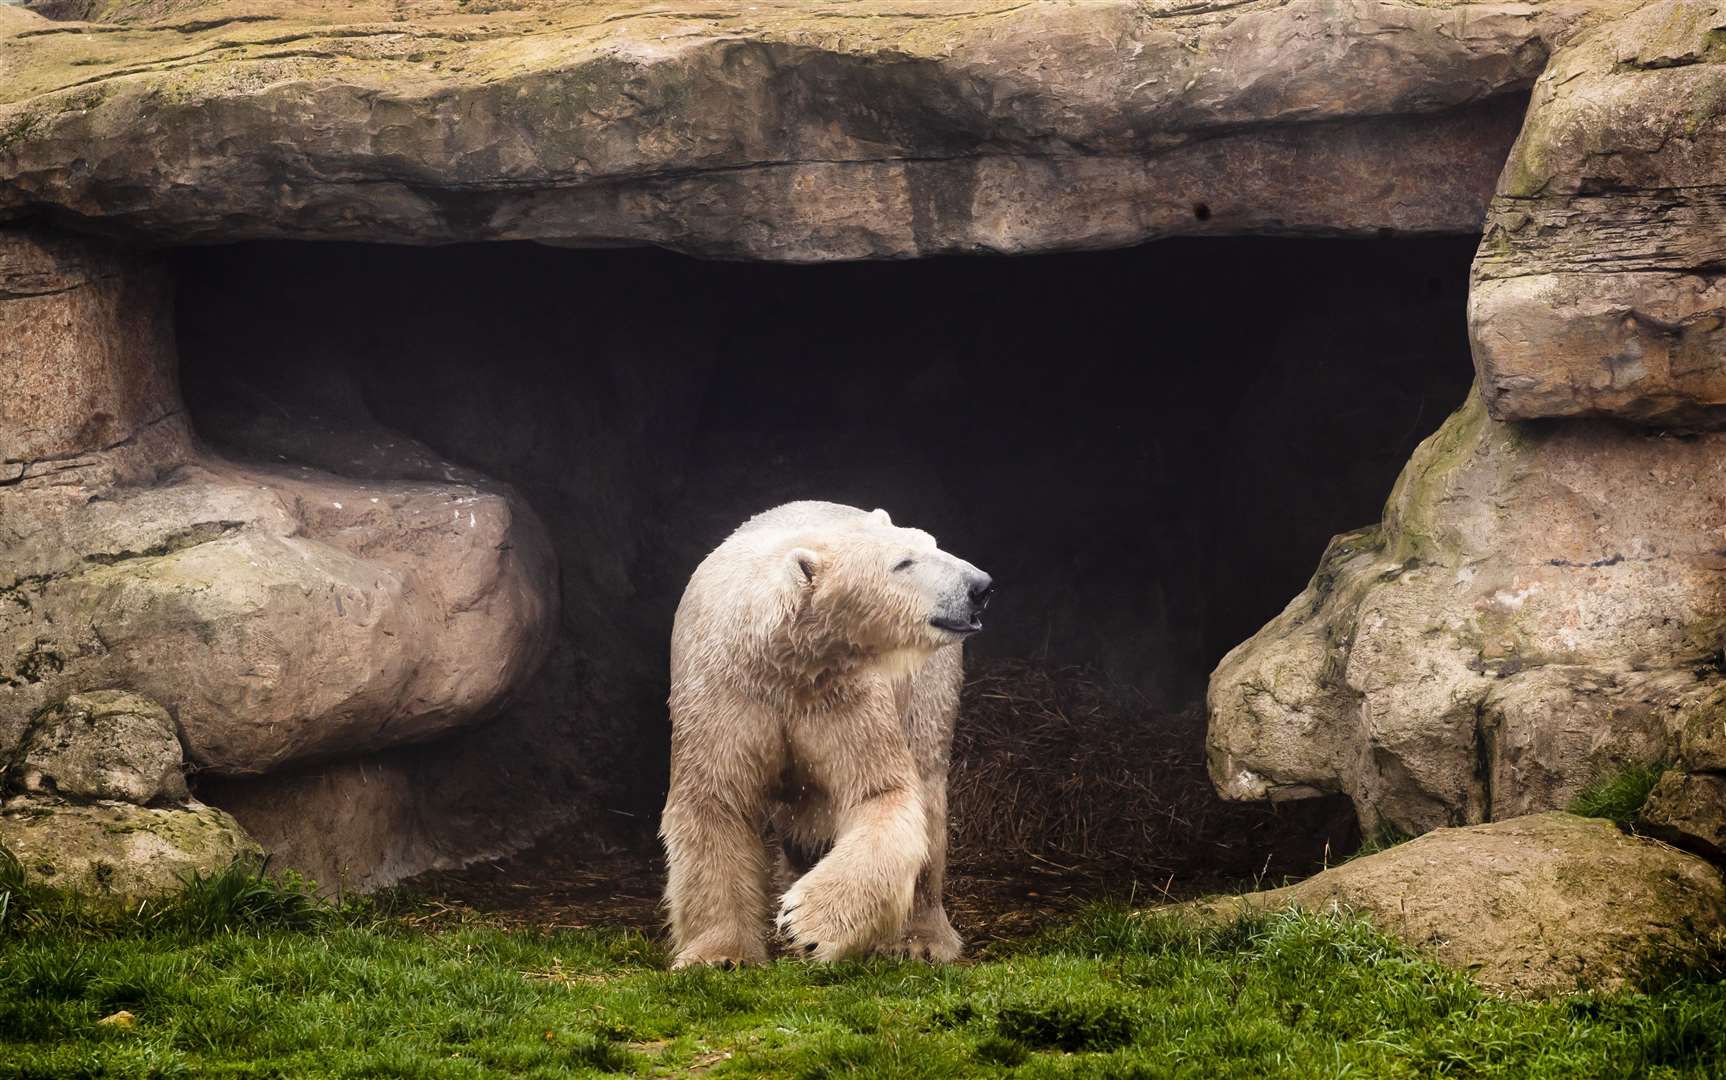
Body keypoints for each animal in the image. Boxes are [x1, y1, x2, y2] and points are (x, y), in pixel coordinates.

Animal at [659, 500, 994, 966]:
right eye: (903, 562)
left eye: (932, 543)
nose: (980, 585)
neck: (783, 657)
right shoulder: (727, 693)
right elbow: (716, 800)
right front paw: (721, 956)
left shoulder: (843, 691)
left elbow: (879, 793)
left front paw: (807, 923)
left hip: (926, 687)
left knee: (926, 784)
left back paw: (919, 940)